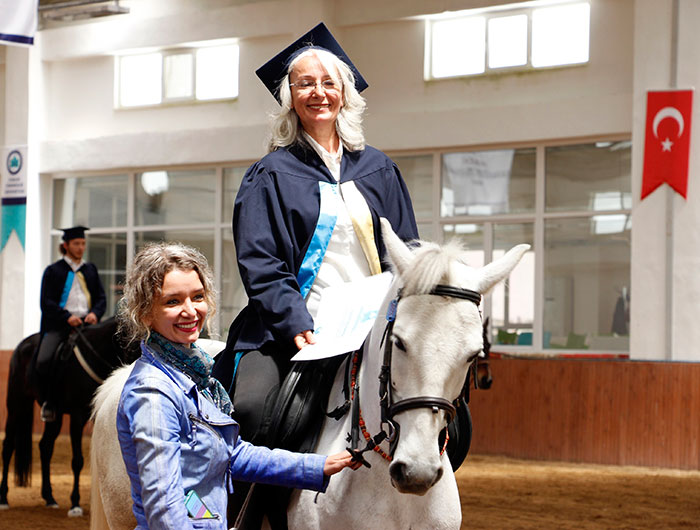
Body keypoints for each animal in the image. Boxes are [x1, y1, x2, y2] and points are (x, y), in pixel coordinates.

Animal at [0, 316, 138, 512]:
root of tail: (21, 345)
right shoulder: (77, 415)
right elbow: (78, 460)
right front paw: (75, 503)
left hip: (54, 416)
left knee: (45, 447)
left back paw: (49, 497)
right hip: (16, 404)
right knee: (8, 446)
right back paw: (4, 498)